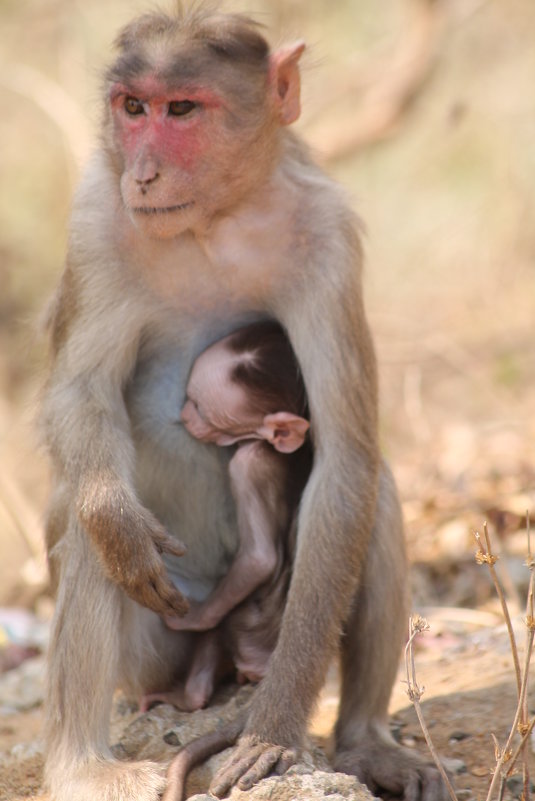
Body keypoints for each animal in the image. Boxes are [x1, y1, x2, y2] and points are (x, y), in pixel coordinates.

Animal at [142, 322, 314, 708]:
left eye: (201, 408)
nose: (184, 415)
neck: (266, 445)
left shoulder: (245, 465)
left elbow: (259, 559)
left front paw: (190, 617)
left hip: (243, 629)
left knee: (216, 631)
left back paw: (186, 695)